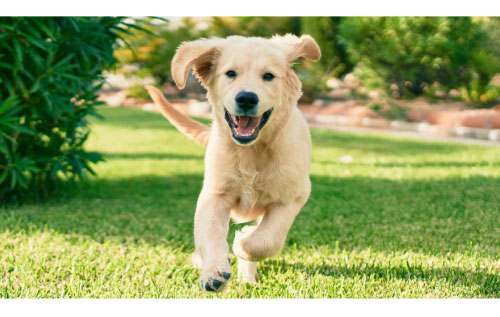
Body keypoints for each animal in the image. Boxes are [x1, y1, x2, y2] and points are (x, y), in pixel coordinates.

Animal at [145, 33, 320, 290]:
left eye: (268, 76)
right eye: (230, 73)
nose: (246, 98)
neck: (251, 152)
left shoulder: (292, 197)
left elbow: (267, 240)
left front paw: (242, 241)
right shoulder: (215, 194)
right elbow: (209, 231)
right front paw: (213, 272)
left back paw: (247, 276)